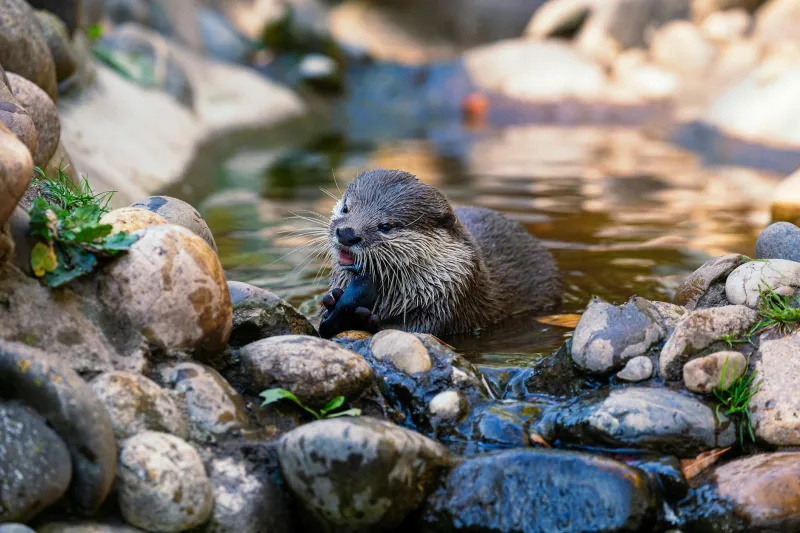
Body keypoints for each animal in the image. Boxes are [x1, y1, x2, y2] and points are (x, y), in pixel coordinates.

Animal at [320, 168, 561, 337]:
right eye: (346, 208)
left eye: (386, 226)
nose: (347, 233)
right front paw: (332, 302)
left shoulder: (454, 291)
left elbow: (419, 328)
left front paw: (363, 319)